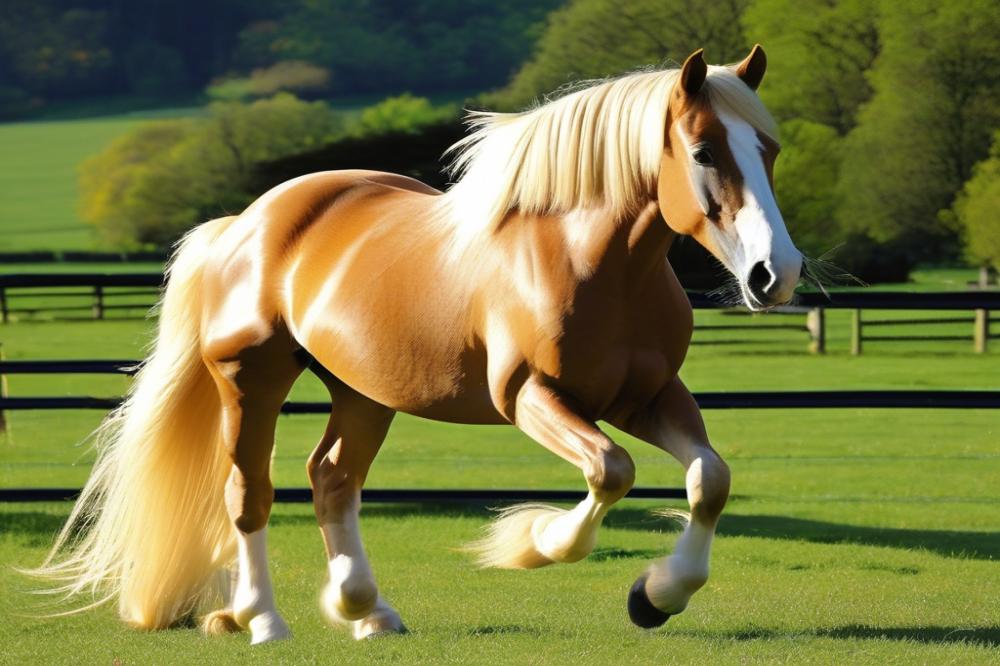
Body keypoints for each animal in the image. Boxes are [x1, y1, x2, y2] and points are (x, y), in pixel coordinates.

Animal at [27, 45, 800, 640]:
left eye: (769, 149)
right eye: (704, 150)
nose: (775, 273)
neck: (590, 262)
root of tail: (243, 223)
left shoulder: (649, 396)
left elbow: (709, 480)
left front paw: (656, 596)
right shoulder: (530, 397)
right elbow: (611, 471)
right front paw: (532, 544)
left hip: (363, 392)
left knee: (332, 480)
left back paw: (365, 611)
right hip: (252, 380)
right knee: (249, 493)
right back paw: (264, 620)